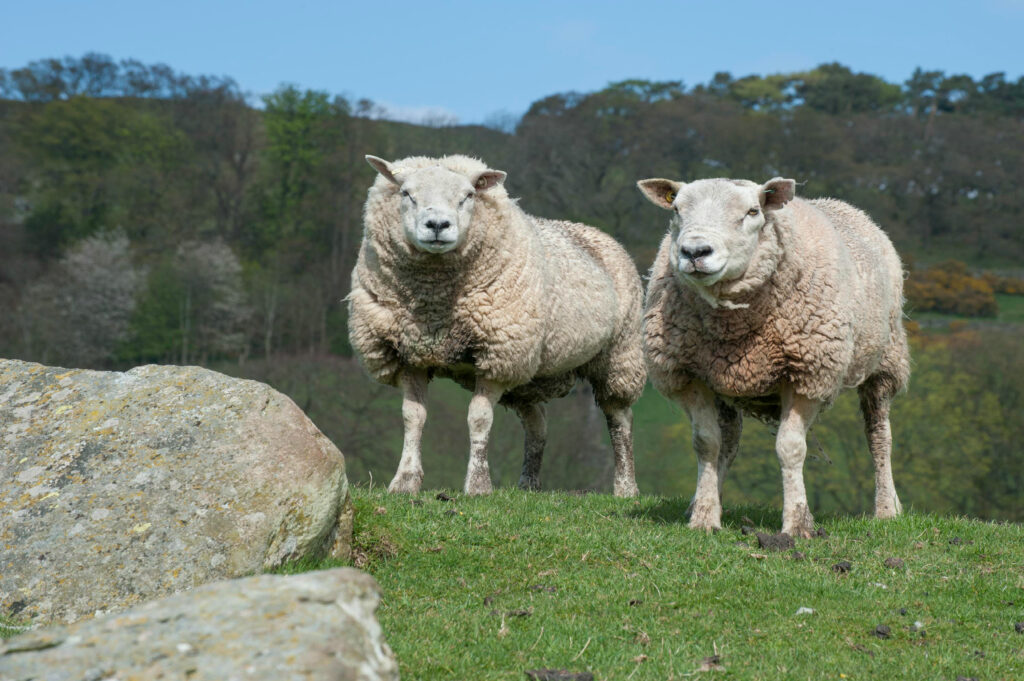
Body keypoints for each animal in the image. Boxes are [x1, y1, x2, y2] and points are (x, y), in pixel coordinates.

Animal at [348, 152, 643, 493]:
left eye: (468, 196)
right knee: (537, 422)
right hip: (529, 372)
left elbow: (478, 419)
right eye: (407, 193)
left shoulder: (497, 356)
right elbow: (413, 418)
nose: (437, 225)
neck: (435, 304)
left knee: (619, 419)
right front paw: (404, 482)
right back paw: (528, 484)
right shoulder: (409, 354)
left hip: (619, 354)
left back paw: (625, 488)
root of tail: (598, 234)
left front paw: (477, 485)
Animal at [638, 175, 913, 536]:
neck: (733, 326)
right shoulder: (690, 374)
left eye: (753, 211)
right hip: (722, 379)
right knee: (729, 439)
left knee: (879, 436)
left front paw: (797, 523)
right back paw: (704, 501)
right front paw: (705, 517)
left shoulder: (807, 372)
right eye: (676, 210)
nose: (695, 252)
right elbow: (707, 443)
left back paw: (886, 509)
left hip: (885, 361)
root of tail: (841, 205)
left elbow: (790, 448)